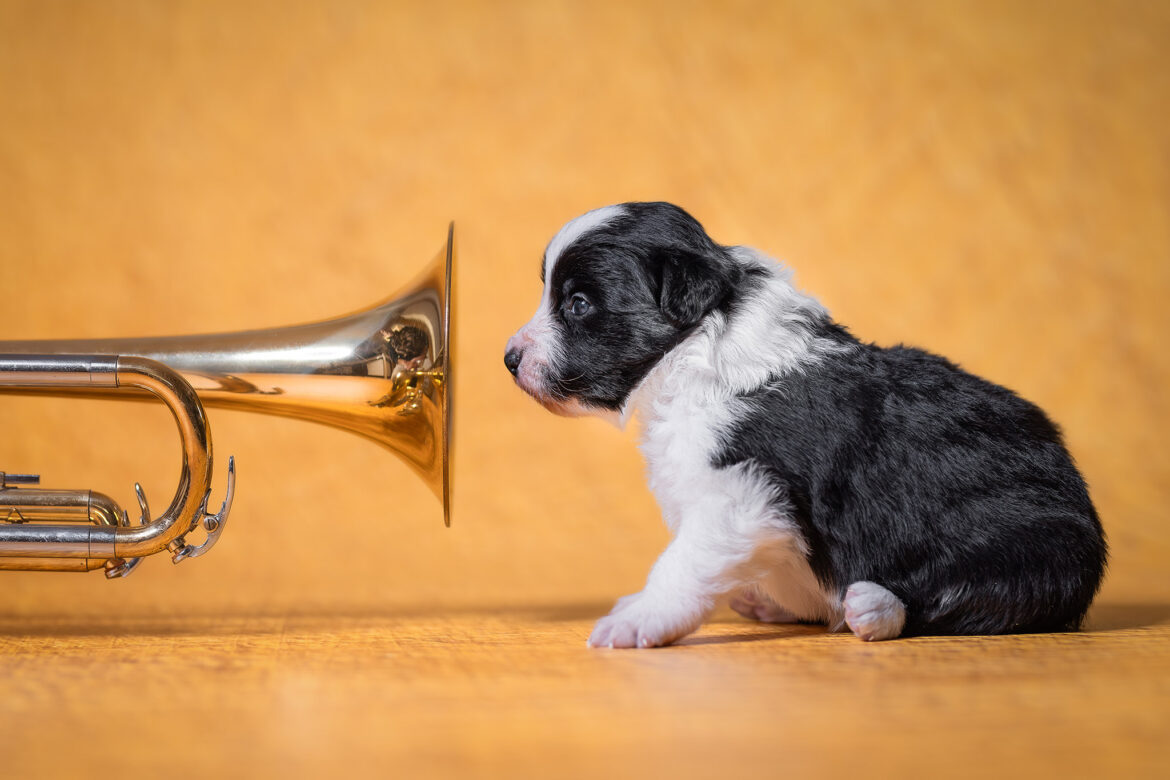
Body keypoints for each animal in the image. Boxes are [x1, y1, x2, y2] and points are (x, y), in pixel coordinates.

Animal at [503, 201, 1104, 645]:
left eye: (578, 304)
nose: (509, 358)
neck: (694, 352)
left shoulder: (740, 495)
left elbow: (682, 564)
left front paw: (637, 618)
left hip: (1036, 549)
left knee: (966, 604)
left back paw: (872, 609)